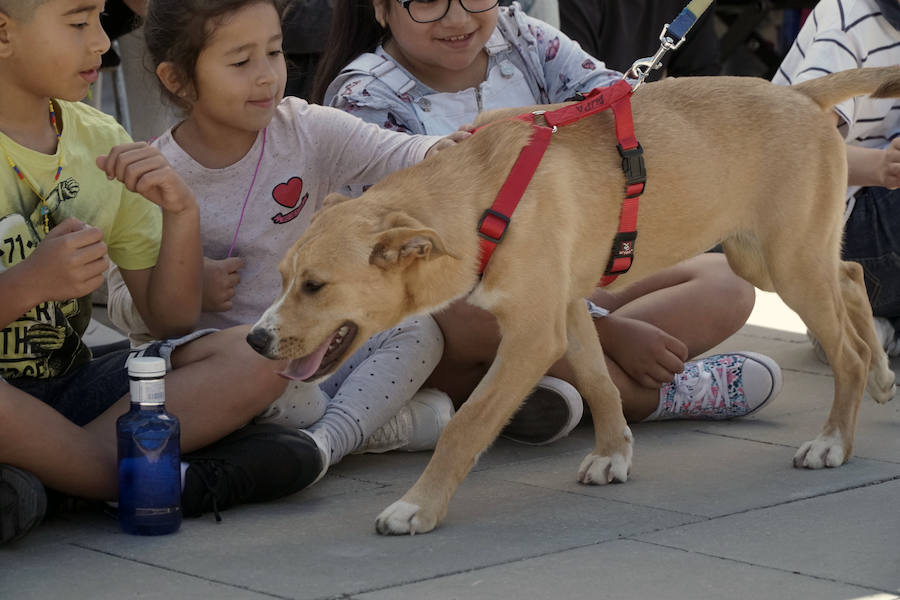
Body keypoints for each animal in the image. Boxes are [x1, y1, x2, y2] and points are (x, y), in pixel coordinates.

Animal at [248, 67, 900, 536]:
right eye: (281, 278)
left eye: (314, 285)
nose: (255, 339)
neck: (482, 203)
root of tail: (800, 94)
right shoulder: (564, 312)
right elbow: (597, 380)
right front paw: (614, 455)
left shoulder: (533, 334)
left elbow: (466, 424)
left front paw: (418, 508)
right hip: (760, 256)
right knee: (848, 274)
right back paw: (882, 375)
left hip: (786, 260)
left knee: (843, 345)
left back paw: (834, 439)